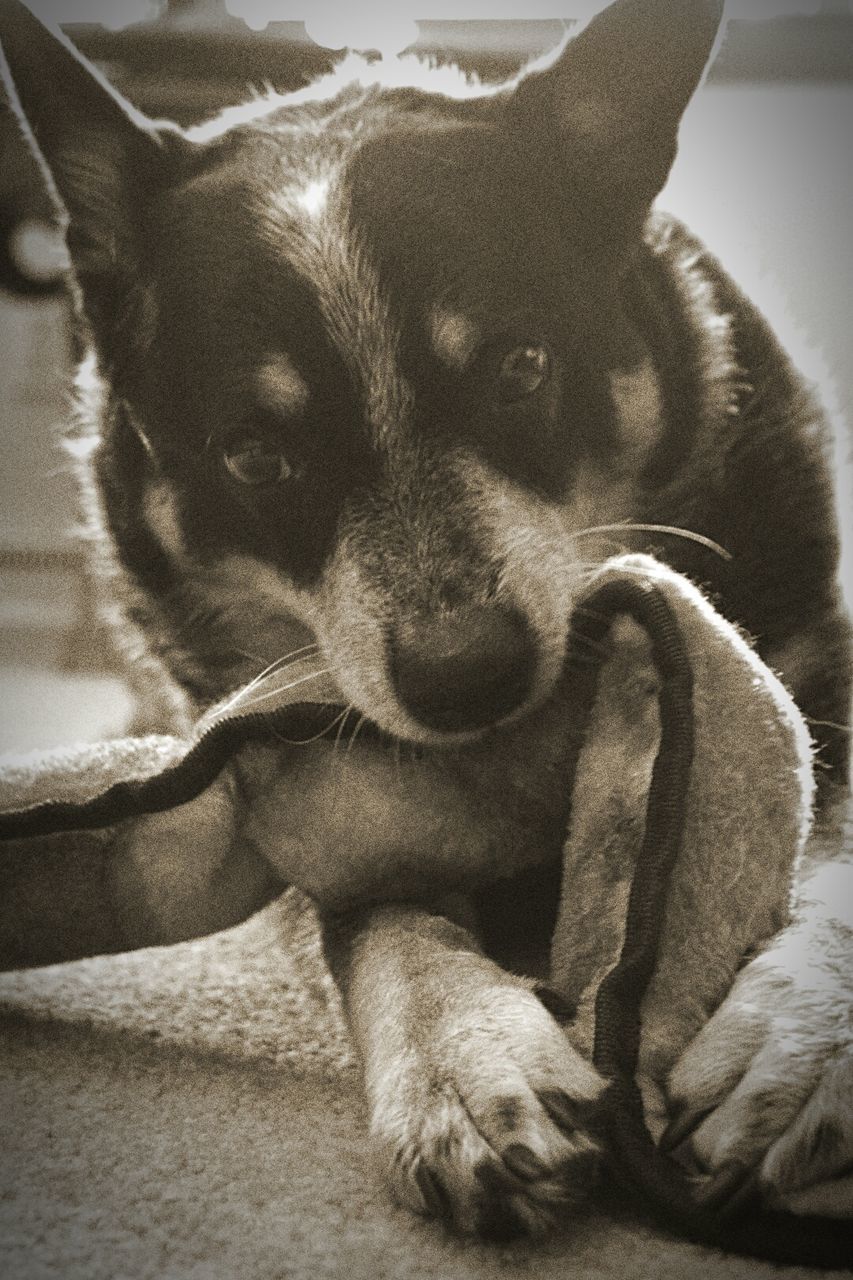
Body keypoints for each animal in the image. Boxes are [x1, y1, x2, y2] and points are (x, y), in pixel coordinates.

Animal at [0, 0, 845, 1244]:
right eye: (255, 457)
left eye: (521, 368)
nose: (466, 678)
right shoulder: (296, 756)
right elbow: (376, 899)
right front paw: (462, 1056)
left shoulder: (816, 658)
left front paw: (799, 1044)